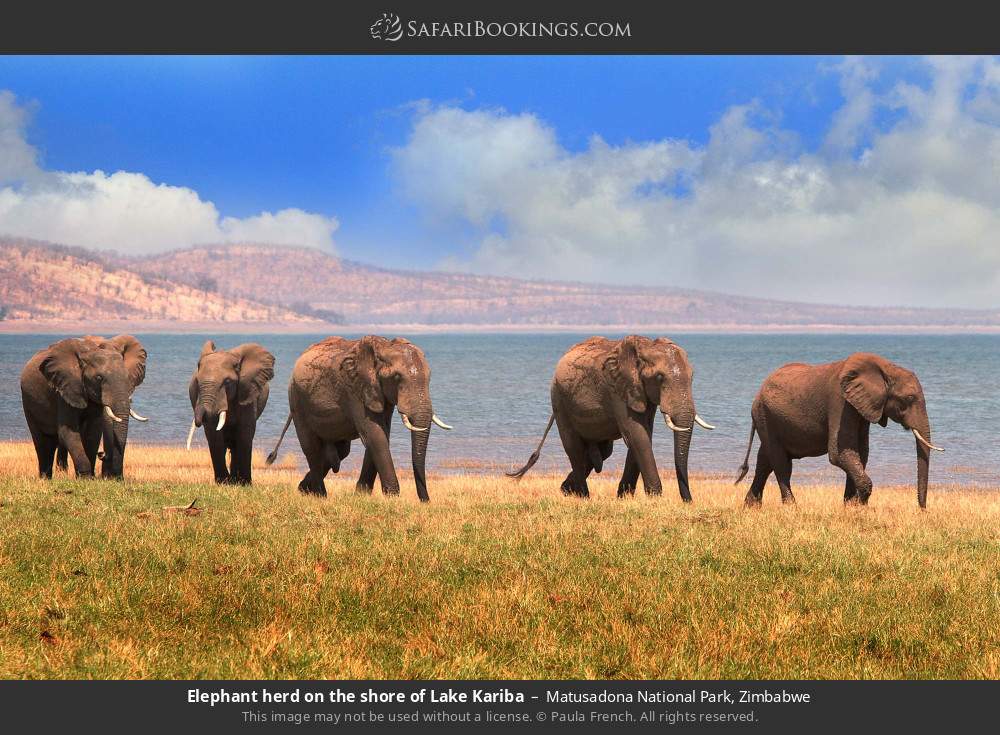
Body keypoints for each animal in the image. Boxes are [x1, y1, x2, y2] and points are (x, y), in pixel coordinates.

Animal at [20, 335, 148, 479]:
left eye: (127, 376)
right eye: (99, 378)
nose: (101, 454)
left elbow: (93, 431)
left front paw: (90, 478)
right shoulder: (64, 390)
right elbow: (67, 431)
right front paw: (85, 478)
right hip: (28, 401)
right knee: (41, 441)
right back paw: (45, 478)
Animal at [185, 341, 275, 485]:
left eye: (227, 382)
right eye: (197, 382)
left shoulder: (247, 392)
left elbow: (245, 433)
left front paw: (244, 483)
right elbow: (214, 434)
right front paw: (223, 482)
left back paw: (236, 480)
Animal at [265, 335, 452, 501]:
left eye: (430, 377)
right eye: (397, 377)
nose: (426, 501)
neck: (383, 347)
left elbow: (382, 434)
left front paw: (361, 495)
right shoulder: (354, 390)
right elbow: (375, 435)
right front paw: (392, 498)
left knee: (340, 451)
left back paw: (303, 489)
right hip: (297, 401)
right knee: (311, 448)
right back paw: (320, 495)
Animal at [507, 335, 715, 500]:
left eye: (692, 377)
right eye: (659, 378)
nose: (688, 501)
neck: (644, 347)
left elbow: (644, 434)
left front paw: (624, 497)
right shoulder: (617, 389)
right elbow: (636, 434)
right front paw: (655, 498)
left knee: (601, 452)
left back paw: (566, 490)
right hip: (559, 401)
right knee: (574, 447)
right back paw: (583, 496)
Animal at [735, 352, 943, 508]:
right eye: (909, 398)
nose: (922, 510)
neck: (885, 368)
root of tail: (758, 392)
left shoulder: (861, 407)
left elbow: (860, 453)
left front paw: (851, 507)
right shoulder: (840, 402)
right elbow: (840, 452)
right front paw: (861, 505)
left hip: (768, 419)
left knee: (765, 460)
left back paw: (751, 507)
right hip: (765, 415)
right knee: (781, 463)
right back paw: (791, 507)